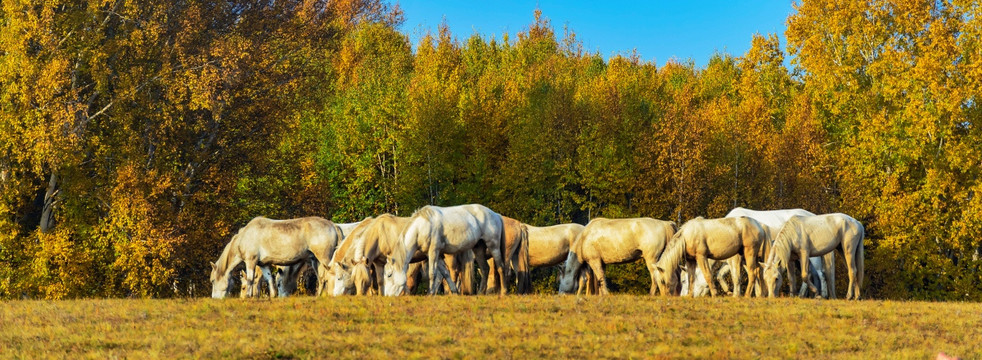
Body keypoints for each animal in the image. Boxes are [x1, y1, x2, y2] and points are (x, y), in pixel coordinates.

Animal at [209, 217, 344, 298]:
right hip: (316, 260)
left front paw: (248, 296)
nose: (214, 299)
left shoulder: (251, 261)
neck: (245, 236)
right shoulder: (263, 264)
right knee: (321, 278)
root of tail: (333, 225)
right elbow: (269, 279)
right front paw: (273, 296)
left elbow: (250, 279)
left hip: (325, 258)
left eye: (213, 280)